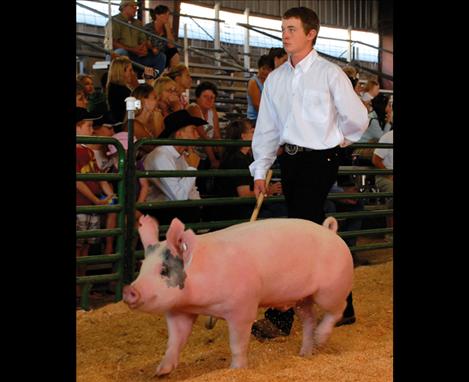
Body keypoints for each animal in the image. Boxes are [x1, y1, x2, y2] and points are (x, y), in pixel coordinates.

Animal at [122, 215, 352, 376]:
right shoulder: (179, 311)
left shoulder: (242, 307)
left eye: (163, 270)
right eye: (141, 266)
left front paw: (236, 370)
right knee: (309, 319)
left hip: (330, 289)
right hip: (302, 298)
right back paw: (305, 353)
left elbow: (237, 344)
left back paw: (321, 339)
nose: (129, 290)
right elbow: (175, 340)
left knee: (337, 310)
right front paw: (161, 372)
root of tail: (329, 230)